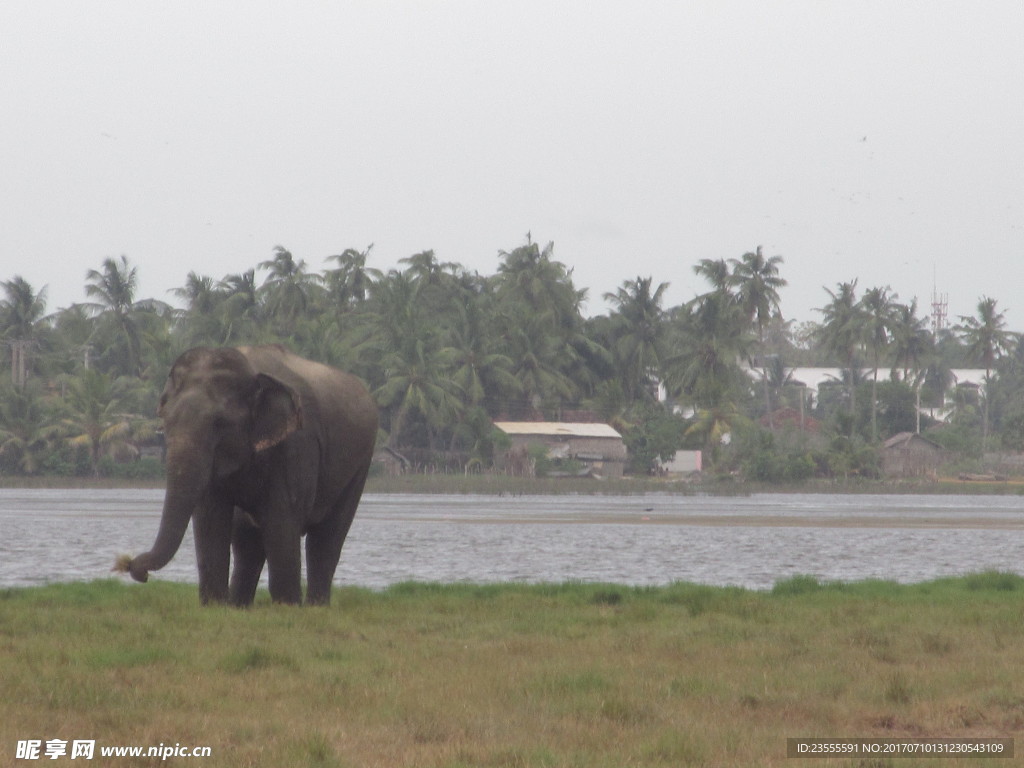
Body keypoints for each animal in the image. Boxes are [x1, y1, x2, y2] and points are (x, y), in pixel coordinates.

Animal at [119, 348, 376, 606]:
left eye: (219, 423)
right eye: (165, 421)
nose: (133, 567)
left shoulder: (297, 446)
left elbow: (281, 519)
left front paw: (287, 607)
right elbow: (211, 517)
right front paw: (214, 606)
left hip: (360, 464)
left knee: (326, 539)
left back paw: (314, 607)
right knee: (247, 542)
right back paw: (240, 606)